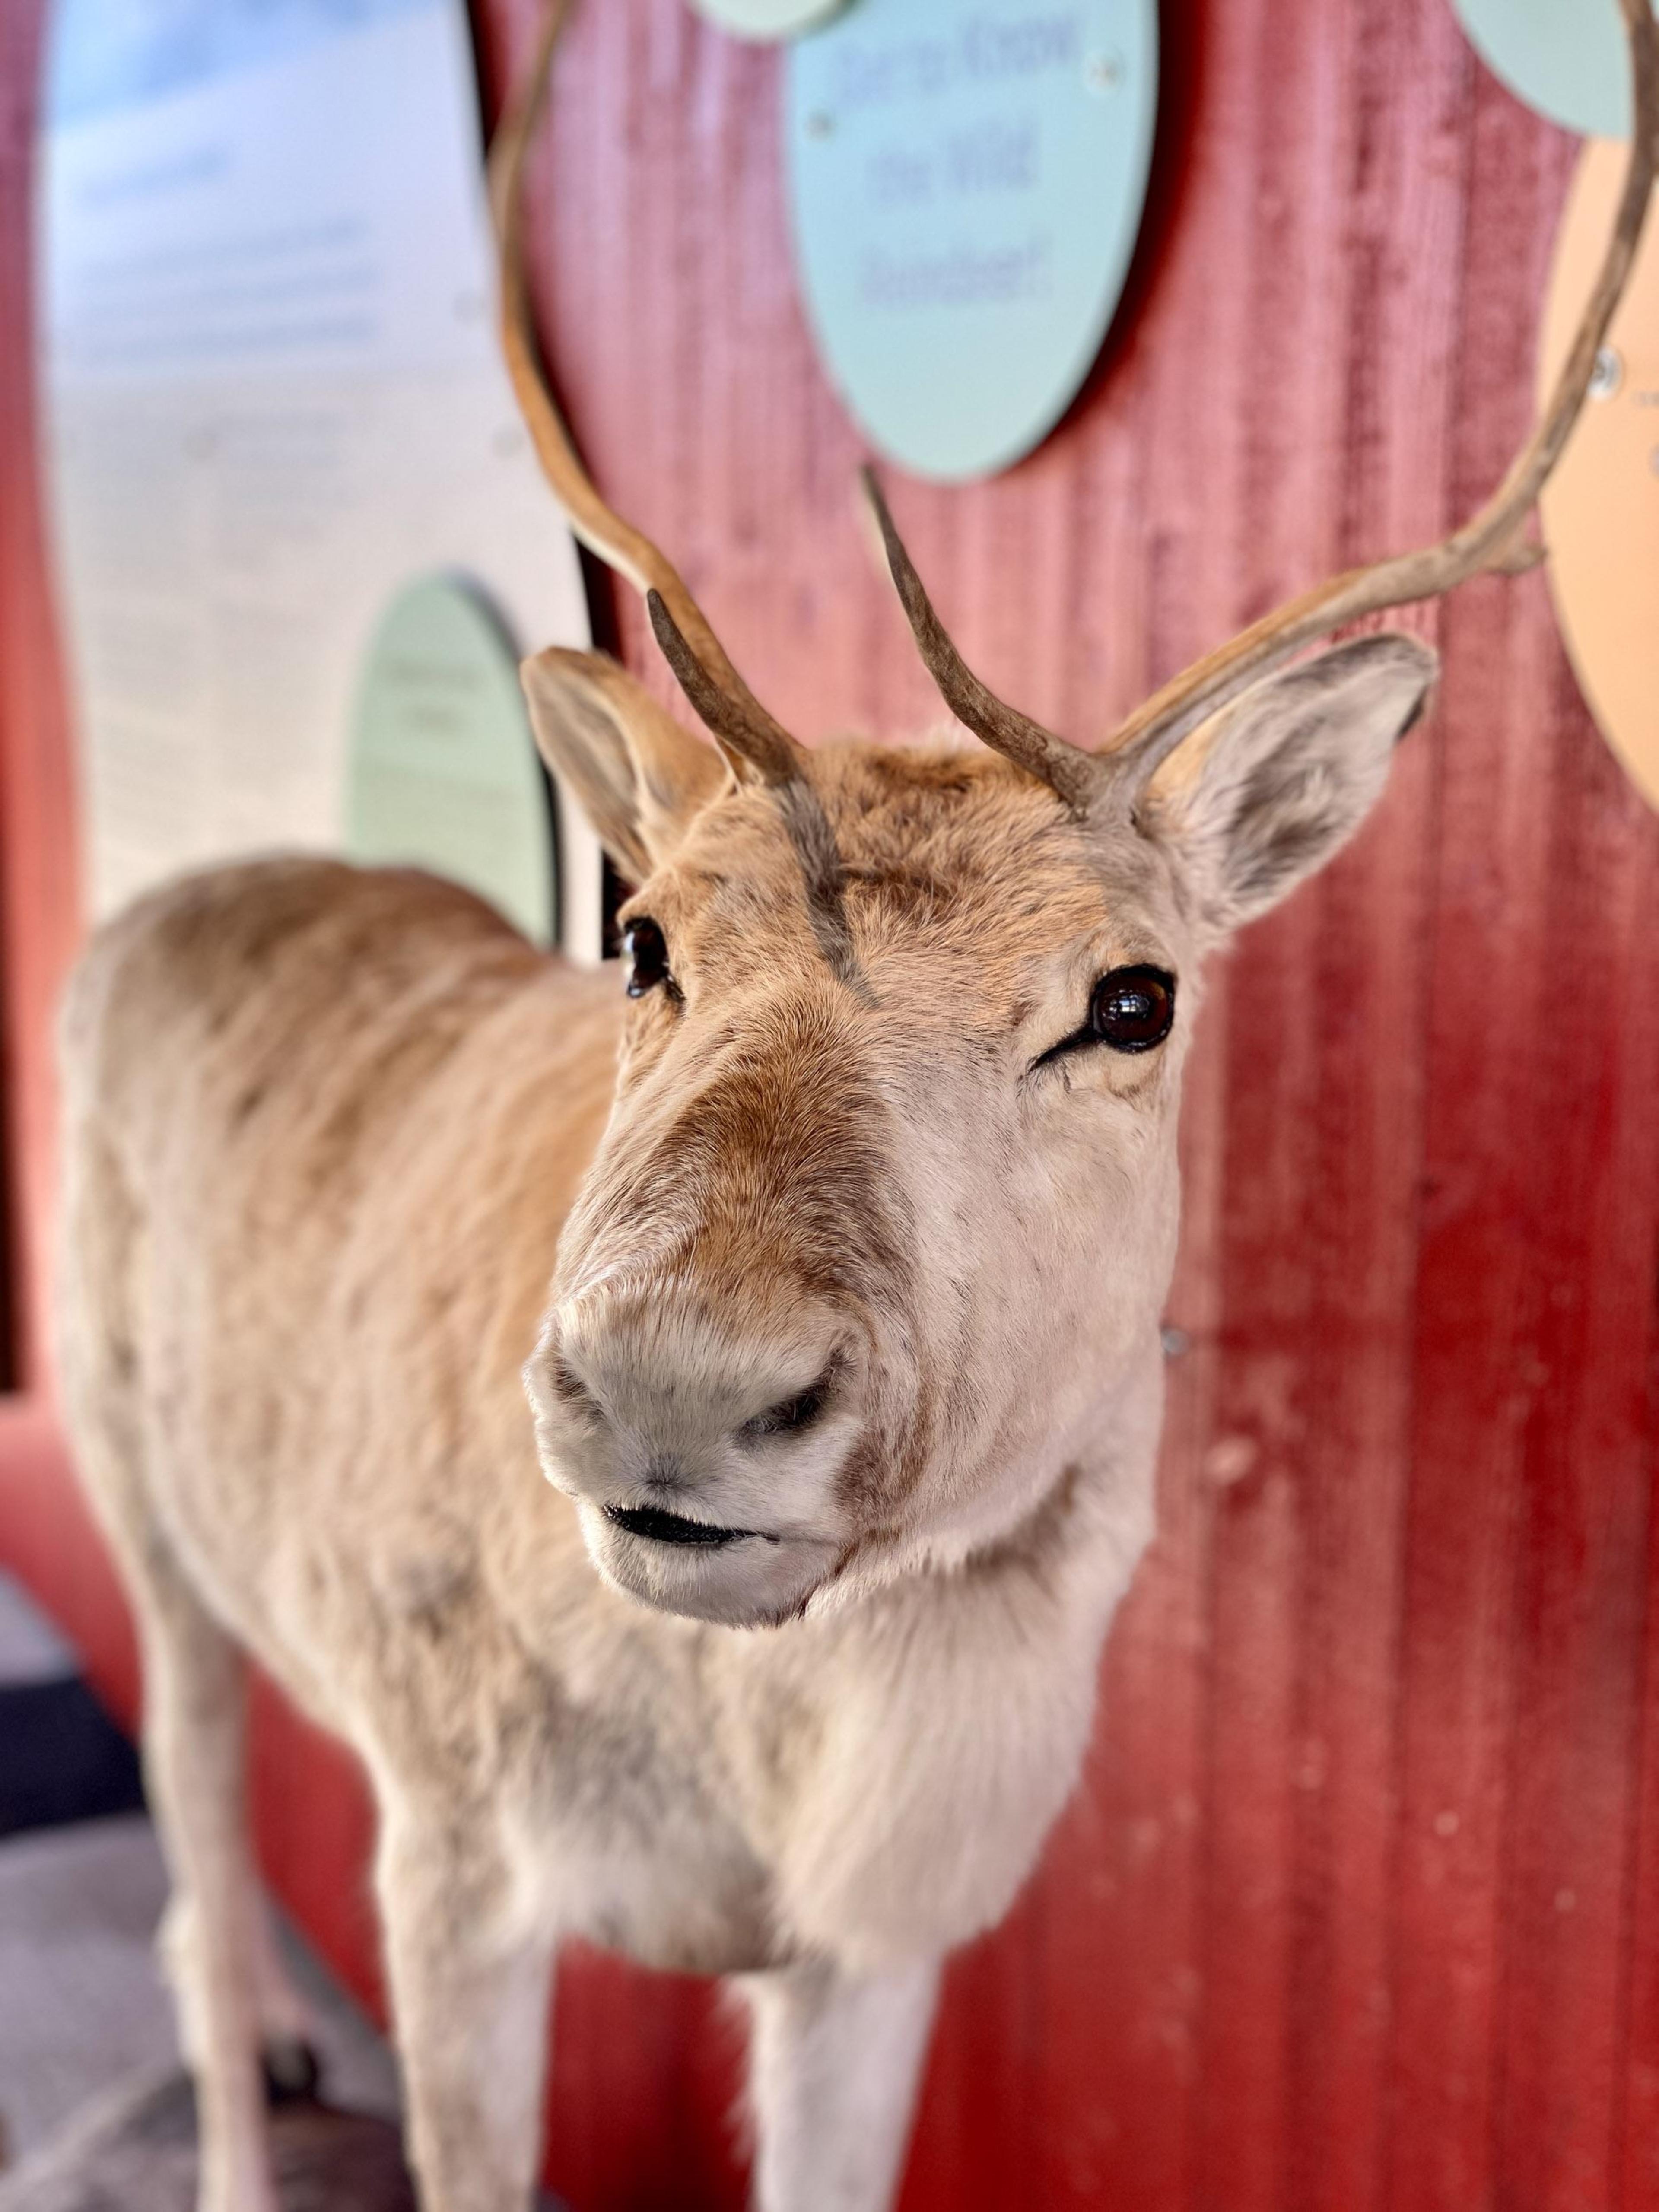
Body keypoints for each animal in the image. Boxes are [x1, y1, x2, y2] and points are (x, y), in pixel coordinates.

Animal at [51, 2, 1657, 2208]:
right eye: (638, 931)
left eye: (1133, 998)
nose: (678, 1381)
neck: (775, 1778)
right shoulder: (454, 1840)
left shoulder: (888, 1935)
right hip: (137, 1489)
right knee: (200, 1867)